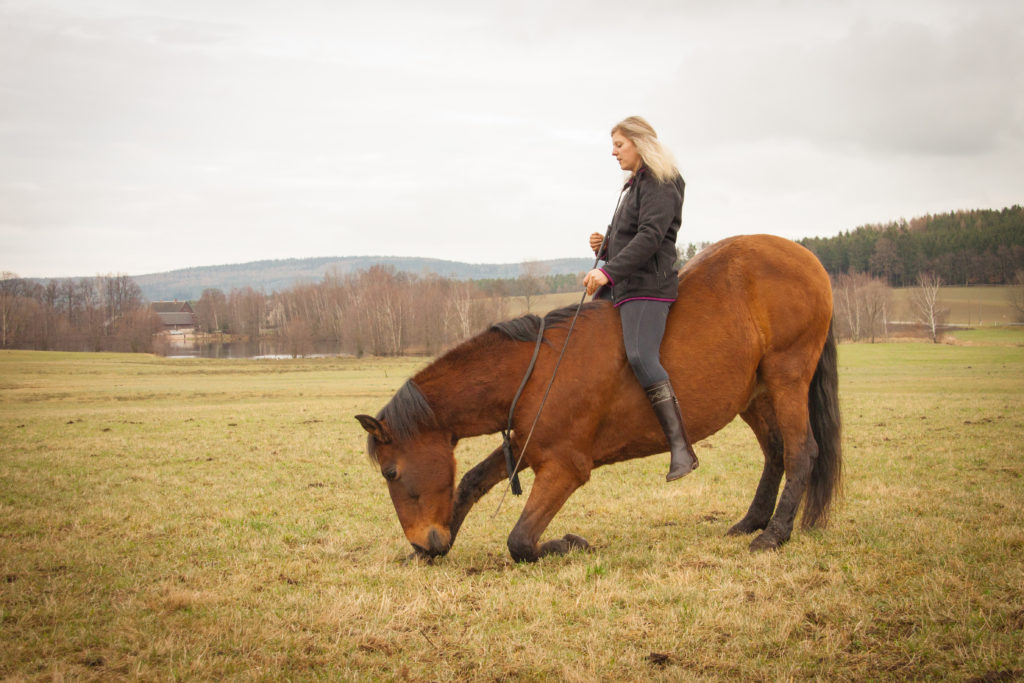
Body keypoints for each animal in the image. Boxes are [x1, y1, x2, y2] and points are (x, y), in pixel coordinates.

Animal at [356, 232, 843, 565]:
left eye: (391, 472)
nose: (425, 541)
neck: (538, 371)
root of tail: (807, 258)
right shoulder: (527, 445)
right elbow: (472, 482)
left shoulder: (565, 467)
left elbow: (520, 541)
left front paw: (570, 543)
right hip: (755, 396)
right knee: (776, 452)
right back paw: (750, 523)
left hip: (787, 378)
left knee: (801, 451)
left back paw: (774, 534)